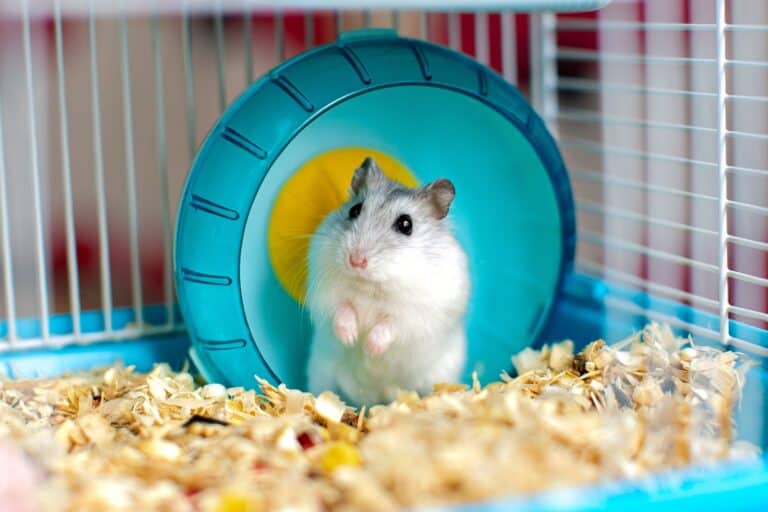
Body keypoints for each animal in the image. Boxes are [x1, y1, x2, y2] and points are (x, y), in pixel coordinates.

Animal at [306, 156, 470, 406]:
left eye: (405, 224)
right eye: (355, 210)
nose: (355, 261)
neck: (371, 287)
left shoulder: (417, 316)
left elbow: (391, 325)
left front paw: (369, 348)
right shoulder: (327, 294)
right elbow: (342, 310)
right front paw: (351, 338)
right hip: (320, 371)